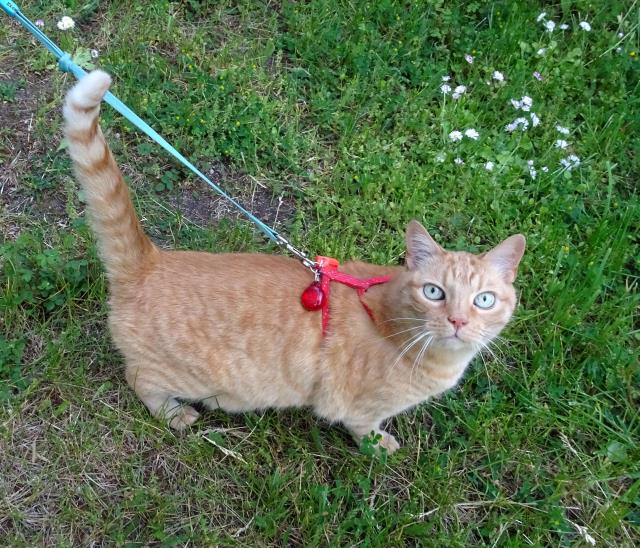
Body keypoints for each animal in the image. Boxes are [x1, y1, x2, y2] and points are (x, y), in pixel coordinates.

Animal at [63, 70, 525, 453]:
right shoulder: (359, 407)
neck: (392, 326)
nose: (458, 321)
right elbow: (364, 428)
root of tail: (150, 260)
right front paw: (379, 445)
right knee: (139, 379)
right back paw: (174, 413)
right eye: (434, 292)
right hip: (182, 375)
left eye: (484, 300)